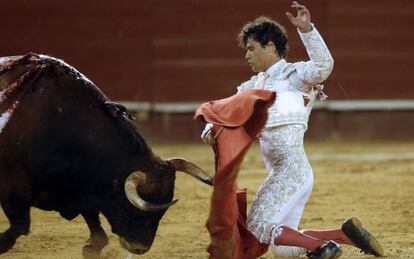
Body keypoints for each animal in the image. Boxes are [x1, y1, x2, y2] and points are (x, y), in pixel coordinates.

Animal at [0, 53, 213, 256]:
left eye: (162, 213)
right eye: (134, 210)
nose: (140, 248)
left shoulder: (81, 187)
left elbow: (93, 217)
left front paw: (92, 247)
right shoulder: (13, 187)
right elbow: (20, 226)